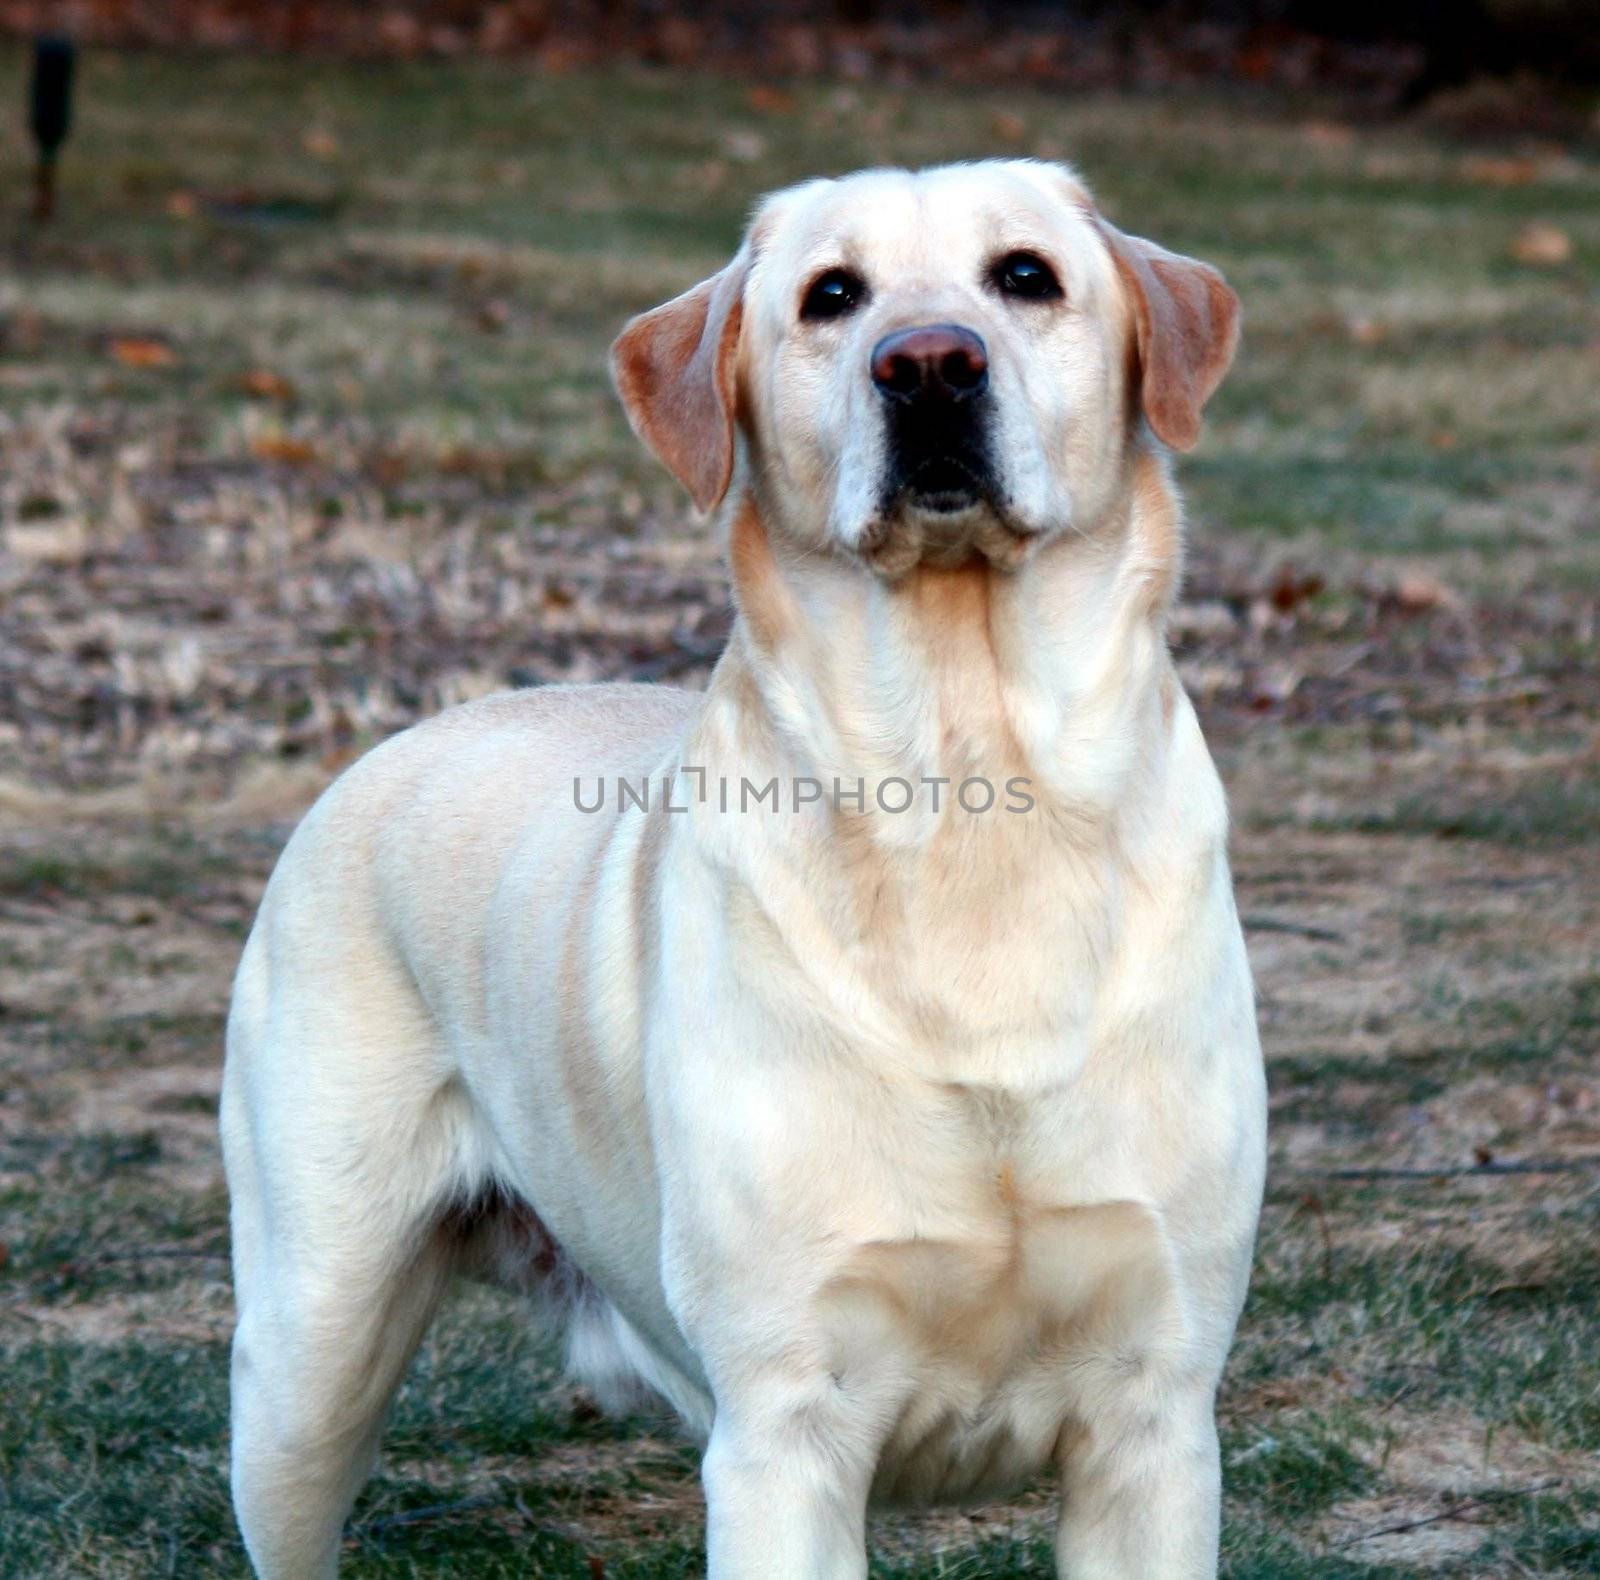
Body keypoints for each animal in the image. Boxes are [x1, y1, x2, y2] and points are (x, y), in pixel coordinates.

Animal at [225, 163, 1267, 1580]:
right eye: (831, 296)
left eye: (1025, 276)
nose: (928, 365)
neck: (967, 789)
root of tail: (389, 743)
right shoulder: (785, 1430)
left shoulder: (1153, 1414)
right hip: (307, 1351)